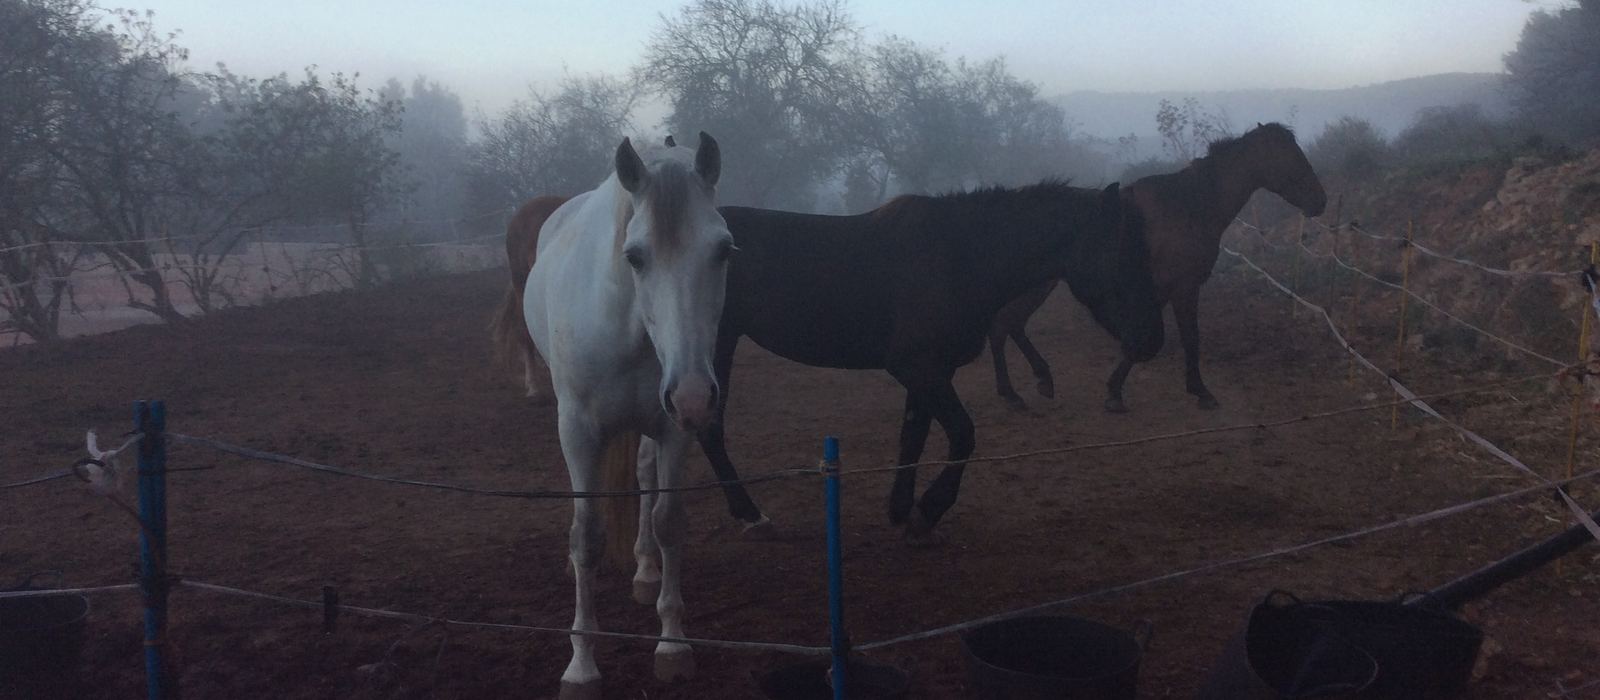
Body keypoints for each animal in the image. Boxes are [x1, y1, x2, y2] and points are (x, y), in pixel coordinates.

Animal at [522, 133, 726, 698]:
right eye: (634, 256)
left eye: (724, 250)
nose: (696, 395)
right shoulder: (577, 433)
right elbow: (586, 536)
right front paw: (582, 665)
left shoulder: (674, 428)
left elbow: (668, 521)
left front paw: (672, 645)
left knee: (644, 478)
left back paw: (644, 571)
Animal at [699, 182, 1167, 541]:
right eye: (1124, 256)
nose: (1151, 341)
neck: (961, 257)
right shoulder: (918, 368)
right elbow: (962, 435)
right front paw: (928, 511)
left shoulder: (930, 372)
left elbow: (914, 437)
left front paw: (900, 508)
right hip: (715, 346)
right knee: (709, 428)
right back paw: (751, 515)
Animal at [985, 123, 1327, 412]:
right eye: (1290, 157)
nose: (1320, 200)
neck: (1191, 205)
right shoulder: (1183, 288)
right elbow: (1187, 338)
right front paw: (1200, 391)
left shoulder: (1158, 292)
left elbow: (1141, 339)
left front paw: (1115, 391)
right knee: (1003, 326)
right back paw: (1015, 392)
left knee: (1009, 325)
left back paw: (1031, 384)